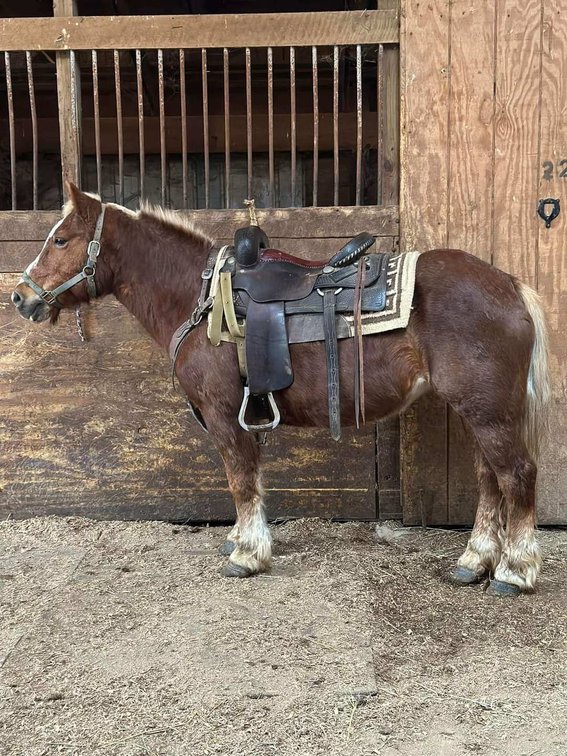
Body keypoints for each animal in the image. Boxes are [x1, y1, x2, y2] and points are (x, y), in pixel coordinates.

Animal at [11, 183, 551, 597]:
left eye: (61, 240)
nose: (20, 297)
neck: (199, 299)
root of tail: (508, 284)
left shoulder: (224, 413)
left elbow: (240, 480)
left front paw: (249, 553)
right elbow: (251, 479)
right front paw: (241, 539)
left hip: (488, 411)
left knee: (516, 475)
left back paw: (514, 571)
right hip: (480, 410)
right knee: (489, 479)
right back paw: (473, 561)